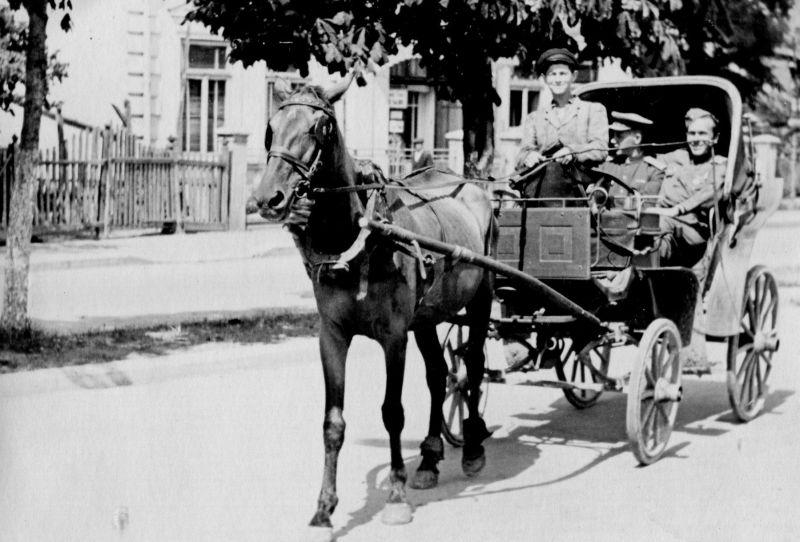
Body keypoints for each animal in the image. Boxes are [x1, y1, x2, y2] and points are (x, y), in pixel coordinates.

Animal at [252, 75, 500, 540]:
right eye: (270, 129)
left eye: (321, 128)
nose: (267, 198)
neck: (359, 237)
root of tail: (470, 183)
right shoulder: (332, 335)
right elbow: (333, 422)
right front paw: (323, 509)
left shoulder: (393, 337)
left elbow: (392, 413)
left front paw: (396, 496)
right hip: (427, 317)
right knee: (439, 375)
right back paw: (430, 457)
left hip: (481, 299)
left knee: (473, 366)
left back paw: (473, 446)